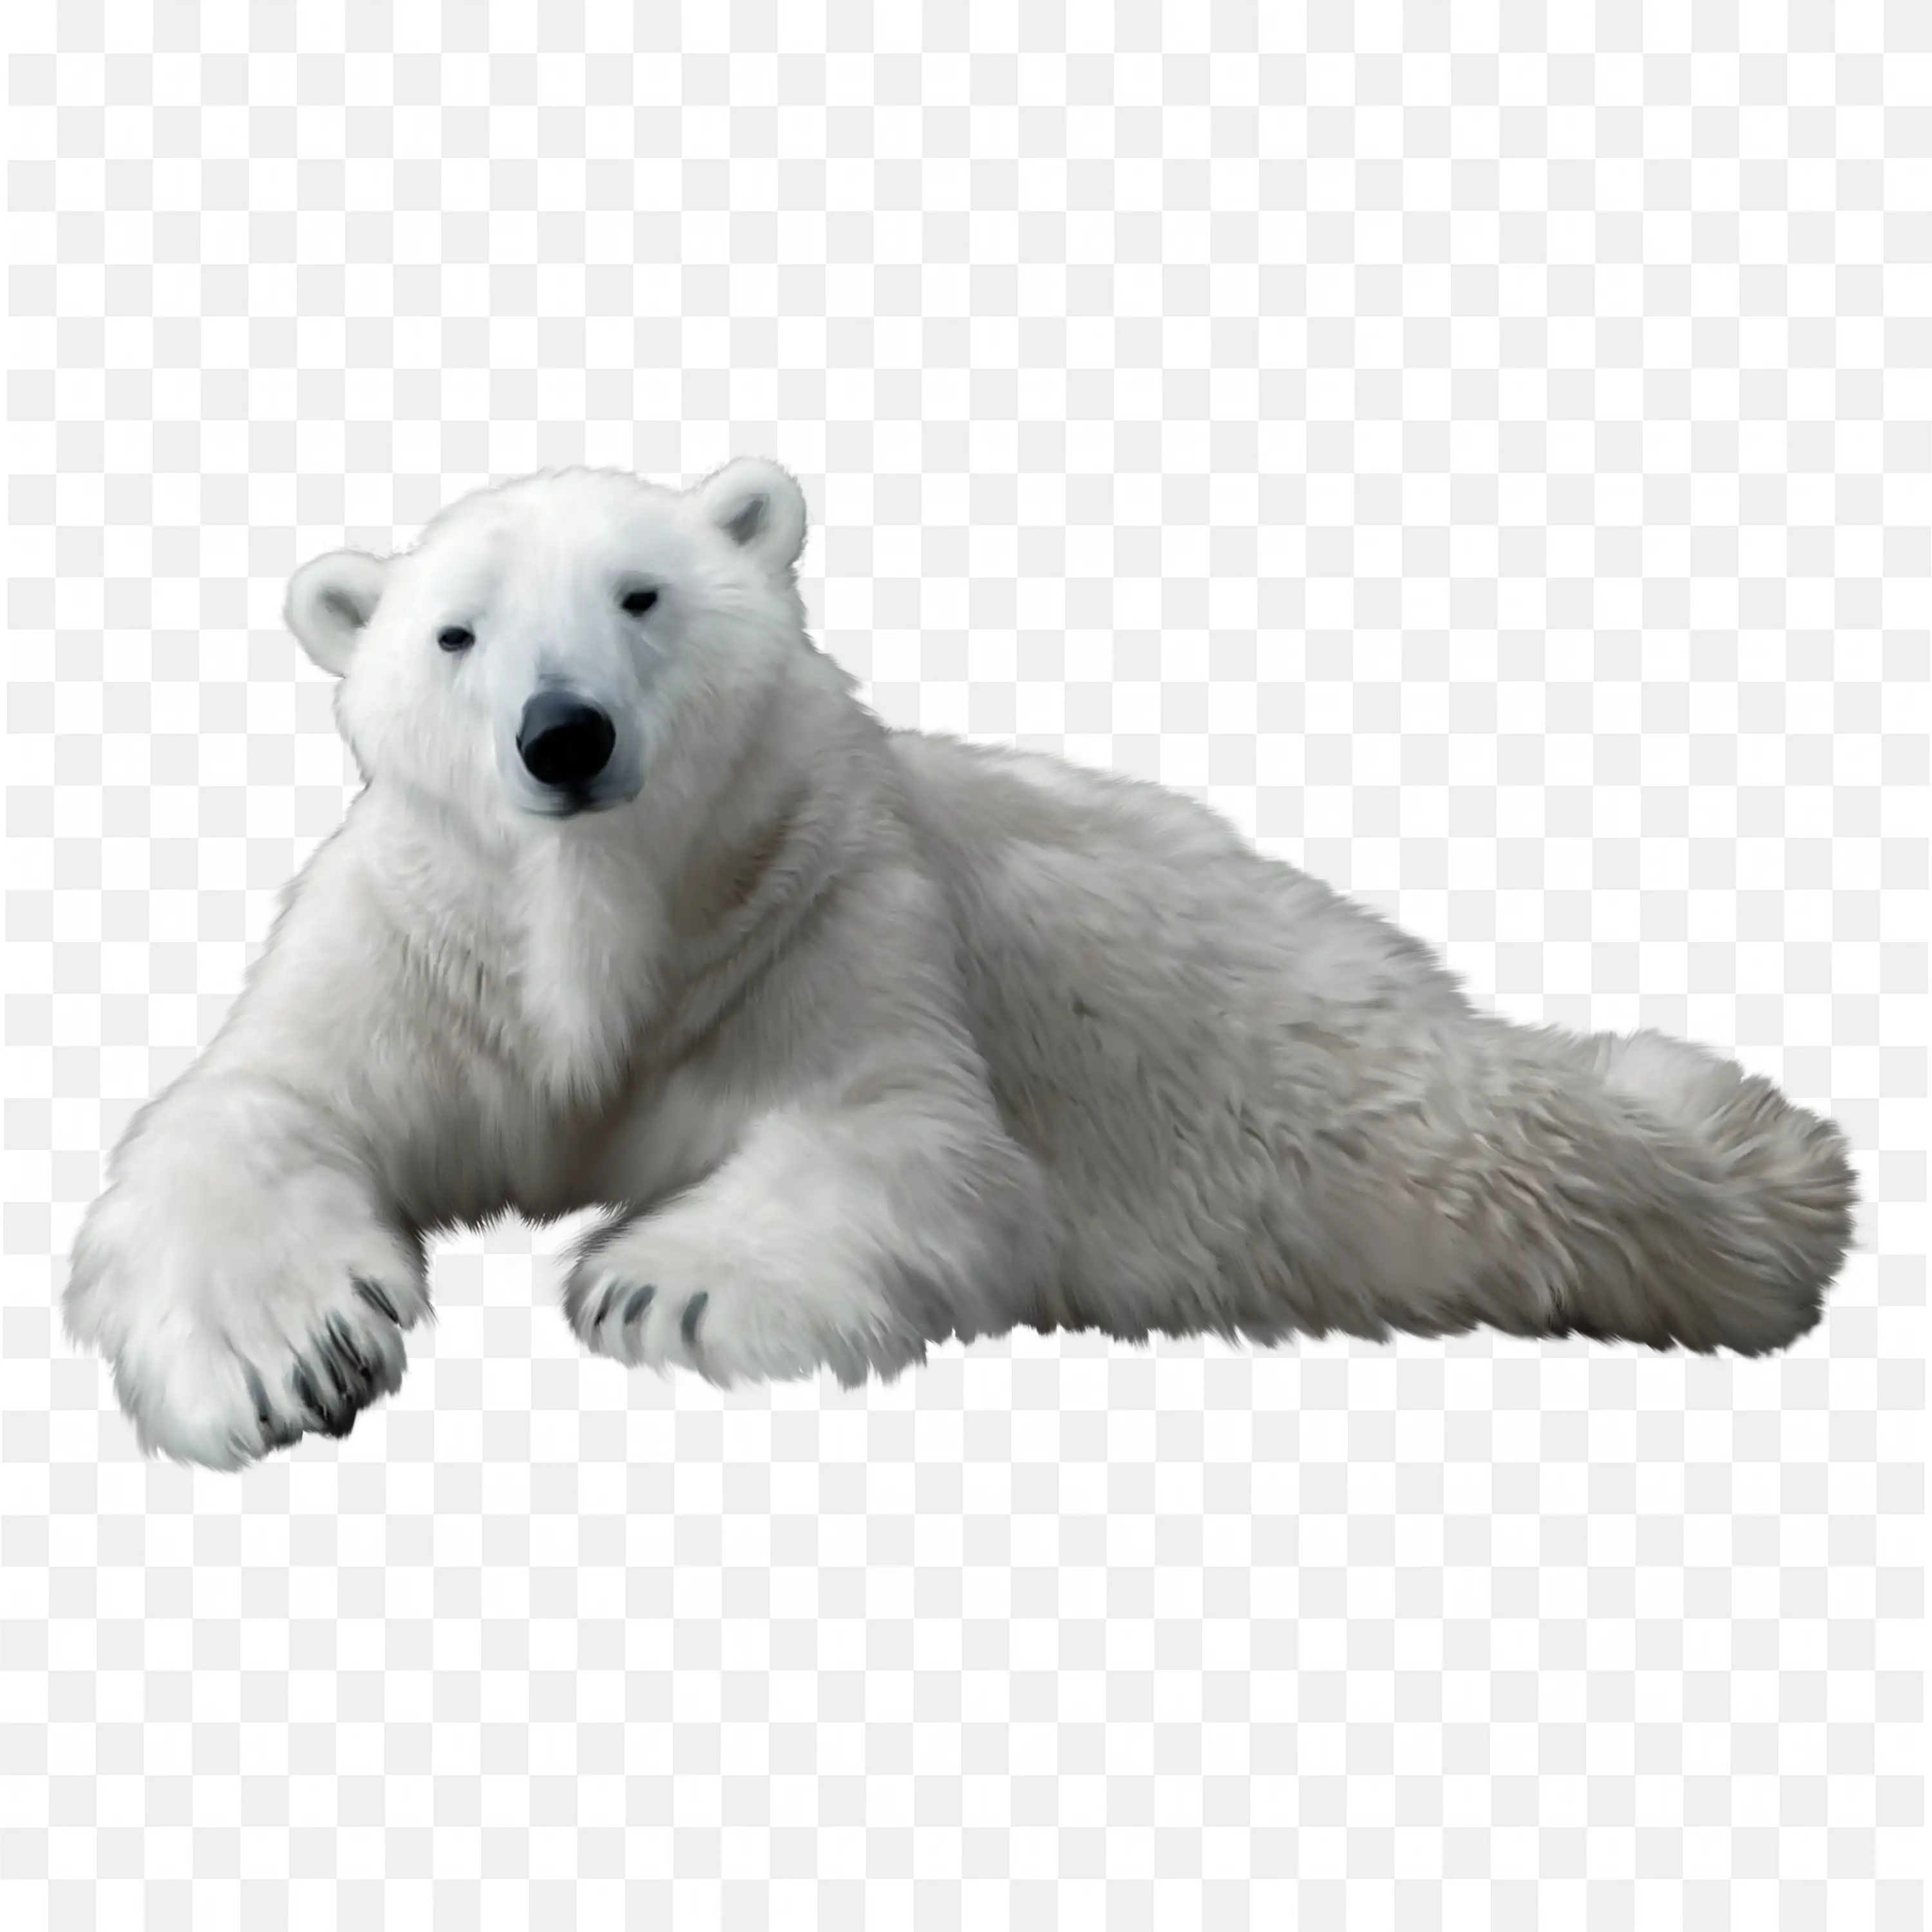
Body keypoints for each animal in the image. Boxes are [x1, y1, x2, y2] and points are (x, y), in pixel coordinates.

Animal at [59, 456, 1865, 1471]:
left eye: (641, 595)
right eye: (455, 633)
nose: (562, 735)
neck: (602, 912)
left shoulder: (820, 903)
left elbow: (899, 1134)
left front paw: (652, 1280)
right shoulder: (430, 937)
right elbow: (259, 1104)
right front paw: (293, 1358)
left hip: (1292, 1053)